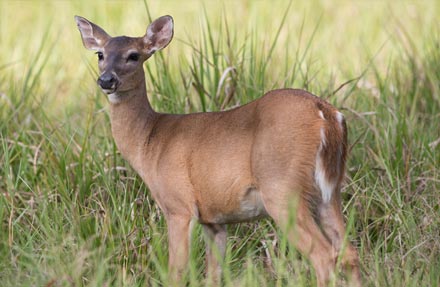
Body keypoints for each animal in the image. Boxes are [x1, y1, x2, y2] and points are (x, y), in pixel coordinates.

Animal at [75, 14, 362, 286]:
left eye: (133, 55)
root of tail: (327, 114)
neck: (151, 142)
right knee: (349, 254)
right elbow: (213, 275)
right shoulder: (214, 220)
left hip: (282, 188)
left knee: (324, 256)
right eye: (100, 54)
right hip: (329, 191)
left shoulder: (179, 205)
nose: (106, 80)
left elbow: (176, 273)